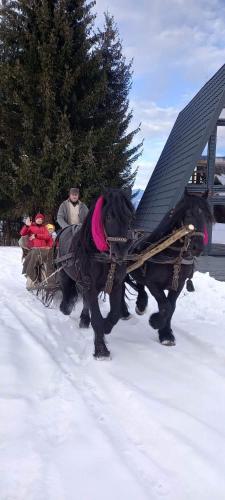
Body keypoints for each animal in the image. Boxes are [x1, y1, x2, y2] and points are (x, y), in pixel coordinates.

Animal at [58, 189, 134, 358]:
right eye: (109, 216)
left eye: (130, 217)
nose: (121, 252)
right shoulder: (90, 285)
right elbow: (97, 318)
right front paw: (101, 349)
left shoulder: (116, 284)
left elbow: (114, 314)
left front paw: (106, 326)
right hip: (65, 273)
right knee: (67, 291)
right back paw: (65, 308)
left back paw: (84, 319)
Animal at [122, 189, 214, 346]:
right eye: (188, 214)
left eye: (208, 217)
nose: (198, 247)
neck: (172, 255)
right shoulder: (153, 283)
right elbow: (165, 306)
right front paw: (156, 323)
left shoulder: (178, 284)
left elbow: (172, 307)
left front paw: (166, 334)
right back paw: (125, 312)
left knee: (139, 285)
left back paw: (141, 305)